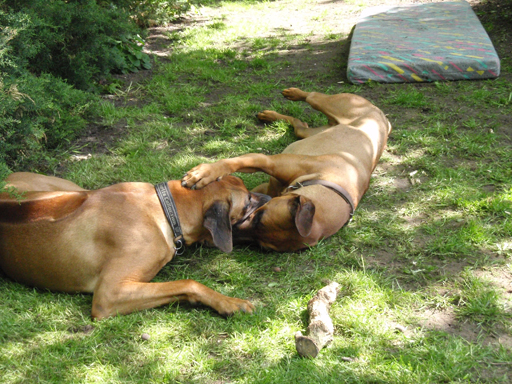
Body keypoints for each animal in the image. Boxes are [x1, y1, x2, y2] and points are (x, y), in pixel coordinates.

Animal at [0, 172, 270, 320]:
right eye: (247, 201)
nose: (269, 197)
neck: (163, 207)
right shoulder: (109, 295)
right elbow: (188, 283)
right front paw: (229, 302)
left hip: (71, 189)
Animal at [183, 88, 392, 252]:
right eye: (259, 218)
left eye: (262, 245)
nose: (233, 232)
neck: (328, 181)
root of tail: (385, 119)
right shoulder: (267, 162)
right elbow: (230, 163)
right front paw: (203, 174)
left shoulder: (267, 188)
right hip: (334, 104)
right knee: (311, 96)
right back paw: (293, 93)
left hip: (310, 131)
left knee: (300, 124)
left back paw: (271, 114)